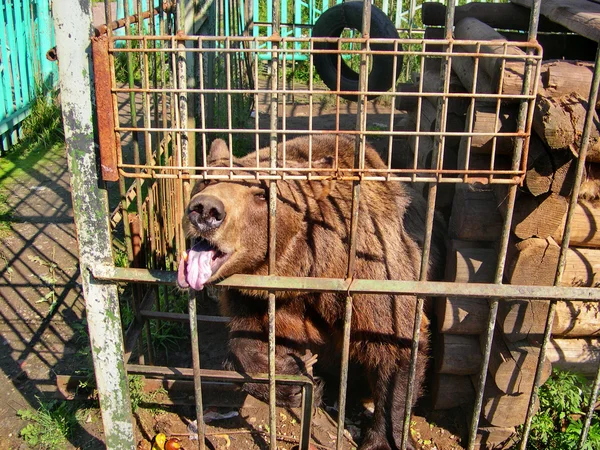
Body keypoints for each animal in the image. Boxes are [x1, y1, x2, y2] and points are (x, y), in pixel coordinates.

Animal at [178, 135, 446, 450]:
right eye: (206, 180)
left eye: (261, 193)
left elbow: (395, 347)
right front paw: (292, 379)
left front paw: (381, 439)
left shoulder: (374, 275)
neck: (305, 268)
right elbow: (247, 341)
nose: (205, 210)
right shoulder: (258, 296)